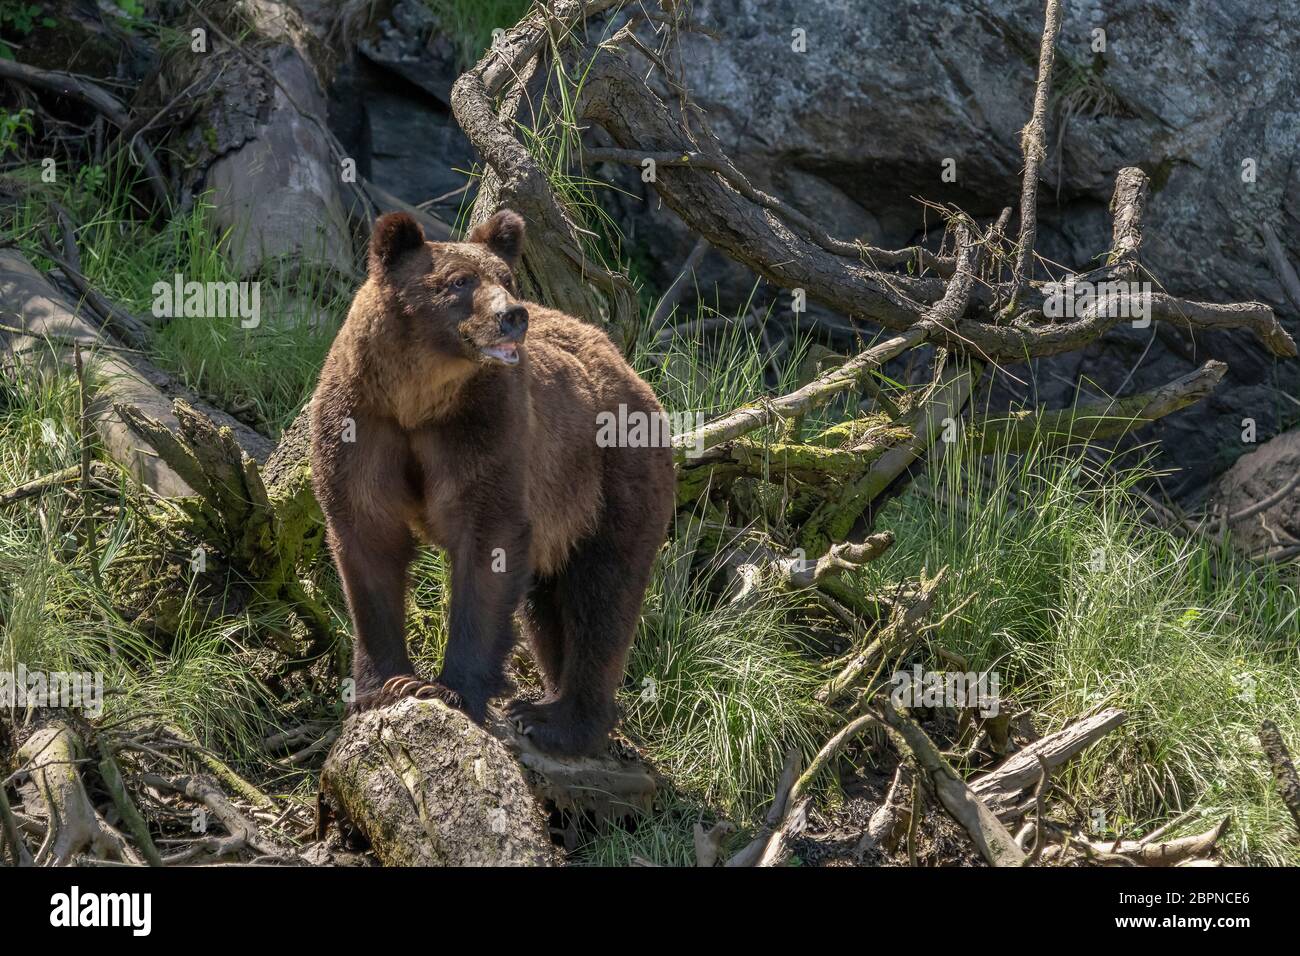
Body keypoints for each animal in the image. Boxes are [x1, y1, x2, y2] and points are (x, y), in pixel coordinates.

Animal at [310, 208, 676, 754]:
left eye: (506, 279)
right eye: (460, 281)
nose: (514, 315)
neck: (417, 398)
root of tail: (633, 373)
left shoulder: (486, 429)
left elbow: (489, 545)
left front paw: (446, 687)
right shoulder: (361, 424)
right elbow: (368, 540)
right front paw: (382, 684)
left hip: (612, 477)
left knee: (602, 595)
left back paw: (559, 720)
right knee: (549, 605)